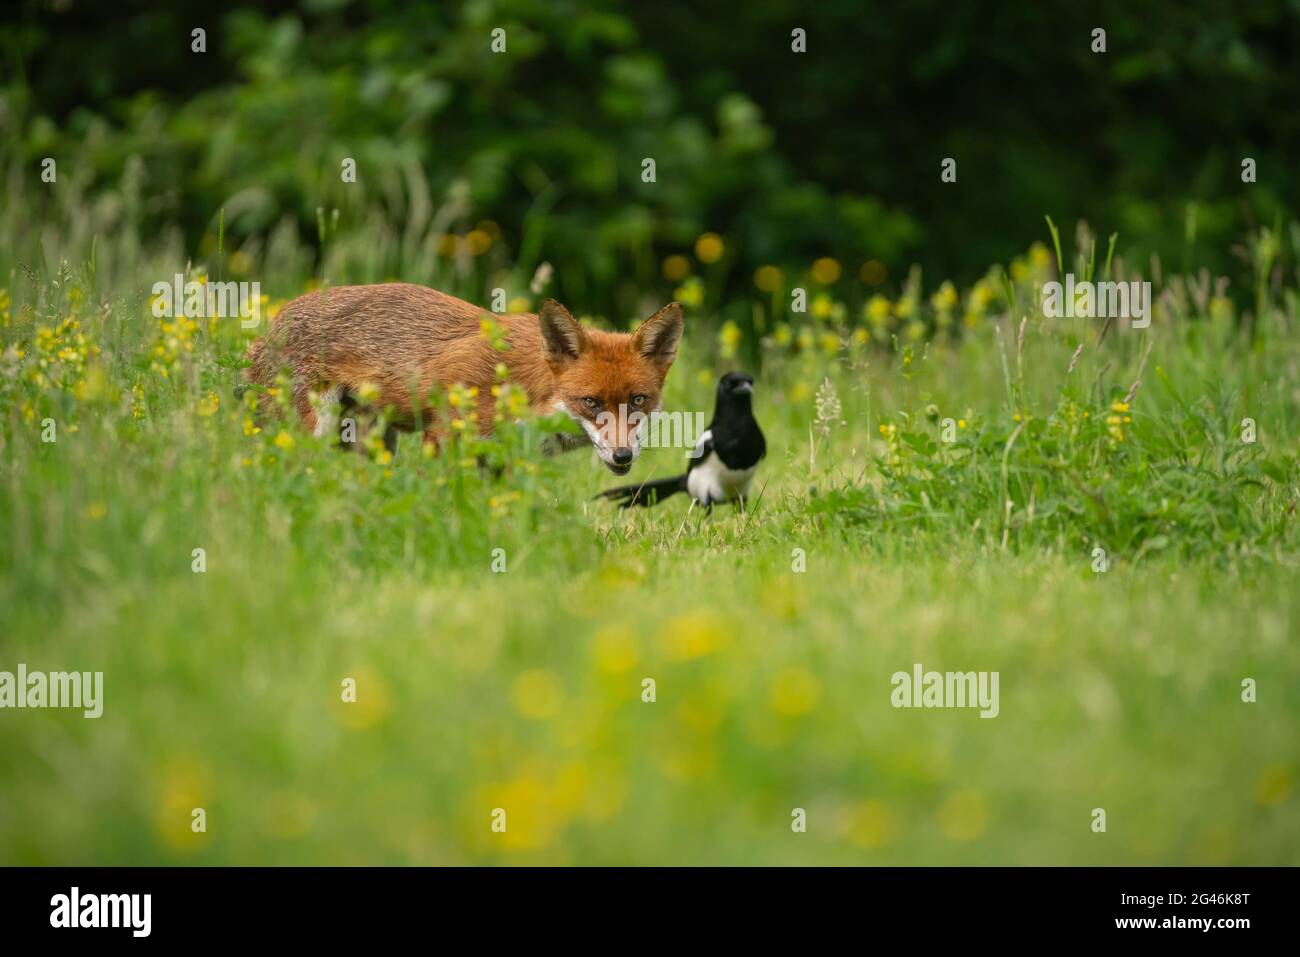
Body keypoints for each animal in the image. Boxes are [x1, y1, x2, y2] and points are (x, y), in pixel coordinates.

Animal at [246, 286, 686, 475]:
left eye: (639, 400)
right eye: (591, 402)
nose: (623, 456)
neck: (523, 391)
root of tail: (272, 323)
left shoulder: (499, 461)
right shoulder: (443, 437)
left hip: (371, 441)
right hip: (309, 433)